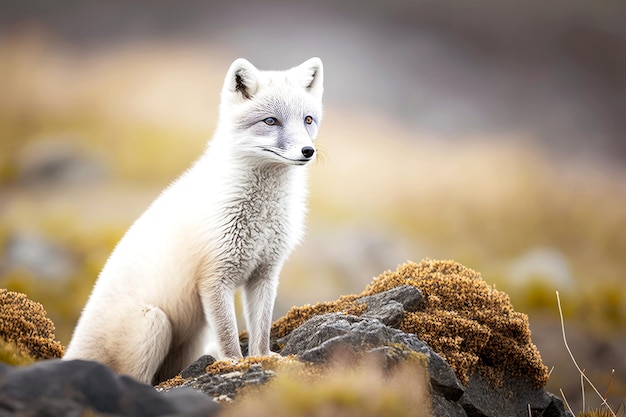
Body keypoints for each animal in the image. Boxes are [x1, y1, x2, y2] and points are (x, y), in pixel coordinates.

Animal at [65, 57, 324, 382]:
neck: (261, 216)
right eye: (270, 121)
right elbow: (227, 333)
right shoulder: (214, 277)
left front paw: (263, 358)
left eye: (308, 120)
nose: (308, 151)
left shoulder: (265, 273)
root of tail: (71, 350)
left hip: (192, 339)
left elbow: (261, 329)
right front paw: (235, 365)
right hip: (156, 324)